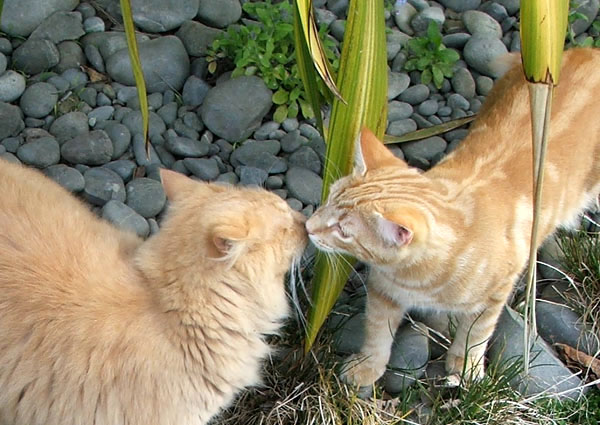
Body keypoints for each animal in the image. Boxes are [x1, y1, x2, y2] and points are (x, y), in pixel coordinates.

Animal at [308, 48, 596, 386]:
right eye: (328, 198)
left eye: (343, 231)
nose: (308, 226)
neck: (416, 278)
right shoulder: (384, 291)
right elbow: (377, 331)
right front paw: (368, 365)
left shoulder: (495, 294)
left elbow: (477, 333)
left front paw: (466, 365)